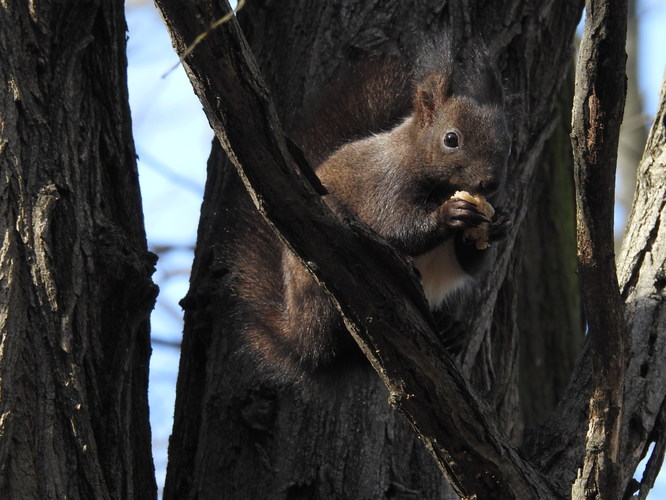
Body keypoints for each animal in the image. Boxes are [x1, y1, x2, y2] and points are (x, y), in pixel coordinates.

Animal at [228, 37, 508, 382]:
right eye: (451, 139)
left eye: (508, 141)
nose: (490, 183)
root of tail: (300, 336)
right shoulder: (386, 186)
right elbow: (395, 230)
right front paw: (450, 215)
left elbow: (468, 263)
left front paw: (496, 226)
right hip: (319, 291)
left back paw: (449, 329)